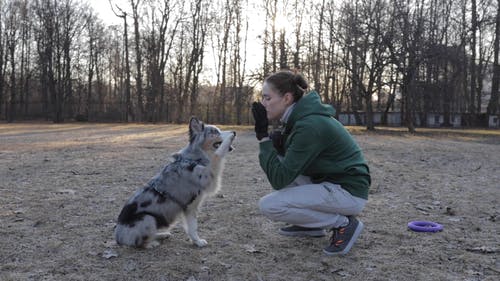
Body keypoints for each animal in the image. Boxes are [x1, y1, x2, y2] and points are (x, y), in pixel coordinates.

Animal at [115, 117, 236, 246]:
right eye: (215, 132)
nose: (234, 132)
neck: (194, 158)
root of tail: (118, 237)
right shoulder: (200, 188)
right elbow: (218, 155)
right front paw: (198, 242)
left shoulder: (191, 206)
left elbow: (191, 227)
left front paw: (196, 241)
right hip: (148, 218)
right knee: (139, 242)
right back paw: (152, 243)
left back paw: (162, 234)